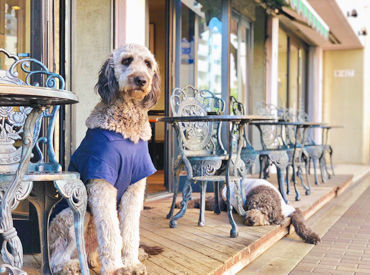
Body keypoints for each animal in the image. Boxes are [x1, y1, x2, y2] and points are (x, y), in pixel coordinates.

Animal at [49, 44, 163, 274]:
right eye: (127, 60)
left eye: (148, 63)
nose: (141, 80)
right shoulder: (102, 185)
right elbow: (111, 233)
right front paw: (116, 268)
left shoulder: (135, 189)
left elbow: (129, 232)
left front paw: (131, 263)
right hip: (71, 216)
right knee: (56, 257)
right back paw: (71, 265)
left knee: (94, 251)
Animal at [181, 179, 320, 246]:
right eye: (251, 207)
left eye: (264, 212)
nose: (251, 220)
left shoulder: (291, 210)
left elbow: (300, 223)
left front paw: (312, 237)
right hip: (222, 203)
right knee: (204, 201)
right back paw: (182, 204)